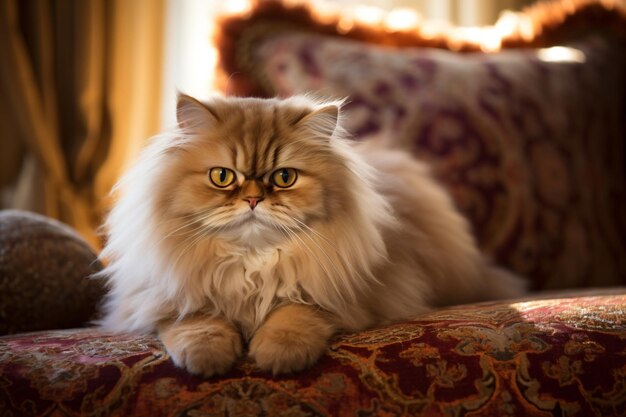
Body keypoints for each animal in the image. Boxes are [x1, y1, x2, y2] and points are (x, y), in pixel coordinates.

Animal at [98, 92, 528, 376]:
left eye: (284, 178)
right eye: (222, 177)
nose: (253, 199)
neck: (252, 264)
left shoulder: (336, 294)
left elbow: (294, 315)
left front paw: (276, 356)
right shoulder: (165, 295)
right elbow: (197, 321)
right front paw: (207, 360)